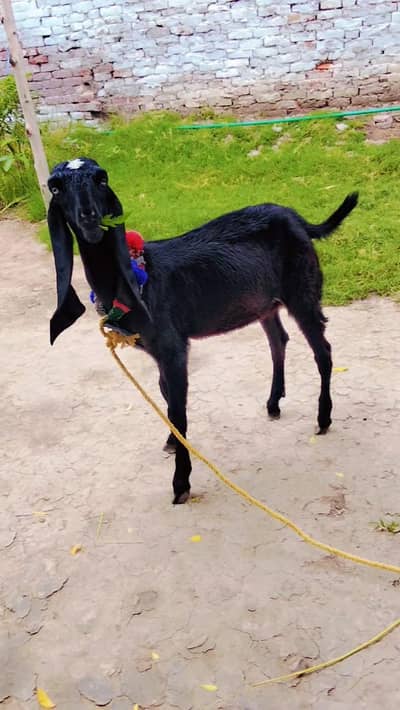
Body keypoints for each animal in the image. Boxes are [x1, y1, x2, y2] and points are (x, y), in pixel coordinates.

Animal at [48, 158, 358, 503]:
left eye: (102, 179)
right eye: (55, 187)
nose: (89, 217)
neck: (137, 280)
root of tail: (298, 219)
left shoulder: (172, 345)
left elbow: (178, 410)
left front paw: (181, 484)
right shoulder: (158, 348)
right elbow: (166, 395)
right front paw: (172, 442)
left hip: (302, 287)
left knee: (322, 349)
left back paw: (323, 418)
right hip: (263, 301)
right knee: (279, 340)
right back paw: (274, 403)